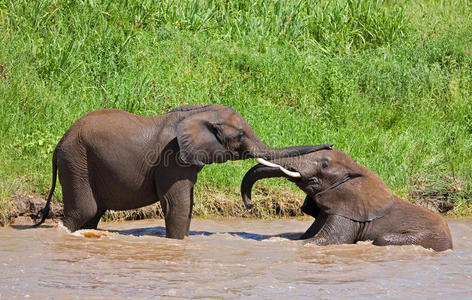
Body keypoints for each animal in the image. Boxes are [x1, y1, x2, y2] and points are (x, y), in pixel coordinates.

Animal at [33, 104, 330, 238]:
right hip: (77, 161)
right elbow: (178, 203)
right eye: (240, 136)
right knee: (83, 210)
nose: (330, 145)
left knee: (93, 214)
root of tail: (58, 144)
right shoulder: (171, 158)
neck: (199, 113)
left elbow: (187, 203)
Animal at [242, 148, 452, 251]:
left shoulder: (348, 214)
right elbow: (305, 236)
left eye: (324, 165)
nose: (249, 204)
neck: (357, 169)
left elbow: (329, 240)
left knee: (383, 239)